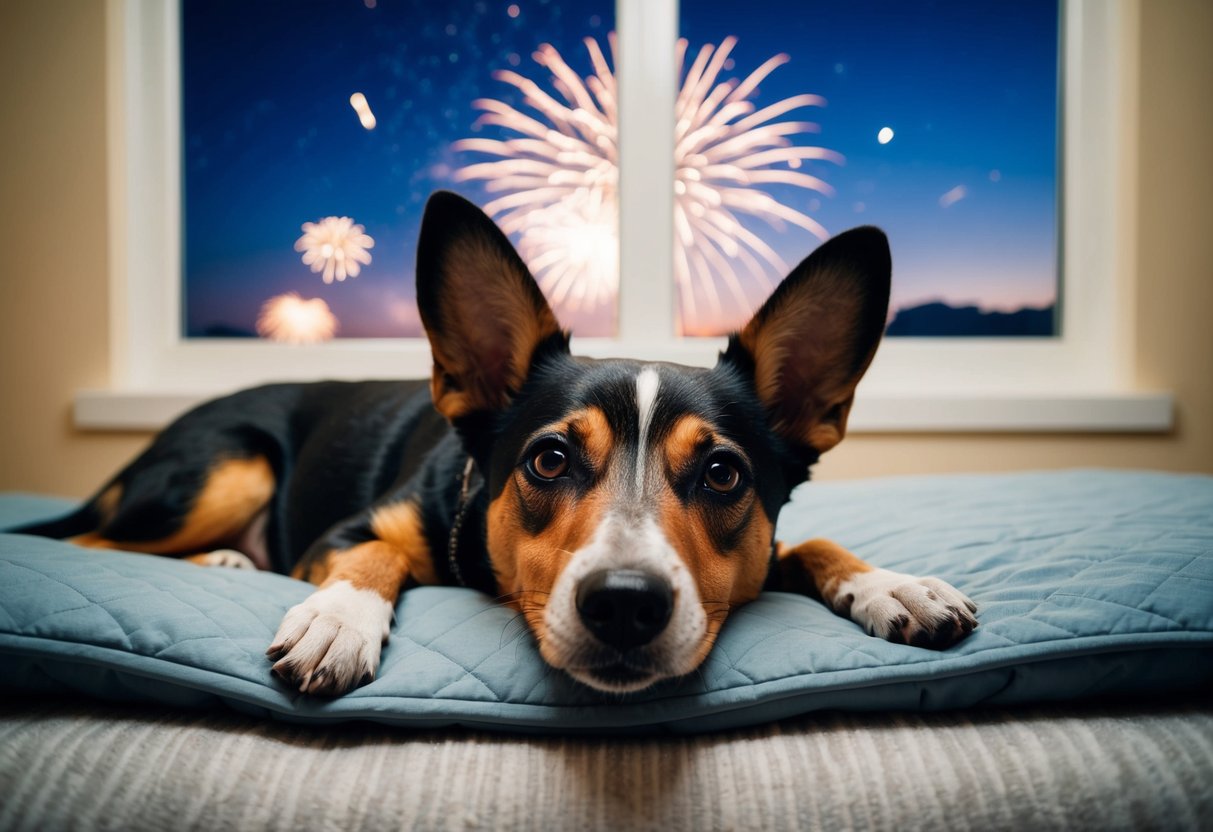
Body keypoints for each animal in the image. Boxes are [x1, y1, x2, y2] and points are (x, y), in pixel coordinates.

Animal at [18, 190, 975, 698]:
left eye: (722, 473)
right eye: (548, 460)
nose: (624, 605)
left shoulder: (760, 545)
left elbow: (809, 543)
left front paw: (891, 584)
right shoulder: (342, 534)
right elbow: (373, 557)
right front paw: (336, 619)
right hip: (226, 466)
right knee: (90, 540)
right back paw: (220, 561)